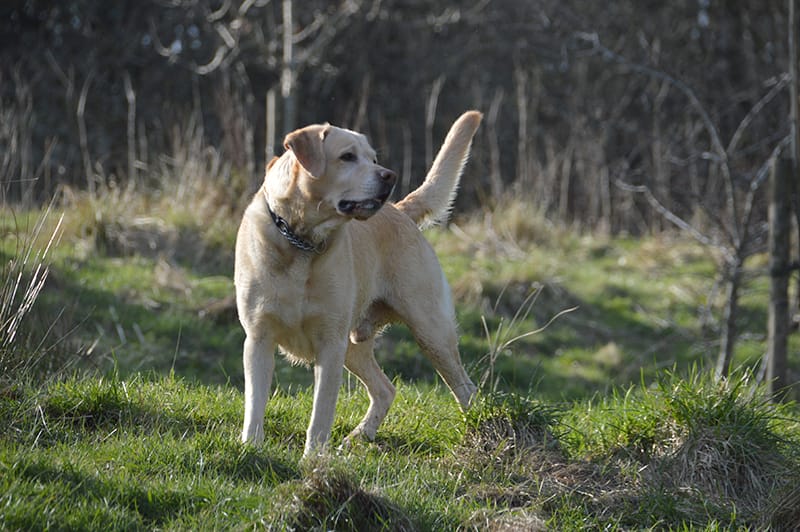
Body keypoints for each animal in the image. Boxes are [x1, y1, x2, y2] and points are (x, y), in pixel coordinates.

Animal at [233, 110, 482, 456]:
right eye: (347, 157)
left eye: (373, 158)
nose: (389, 176)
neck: (301, 241)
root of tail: (399, 209)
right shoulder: (258, 339)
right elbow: (254, 405)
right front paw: (252, 448)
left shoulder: (330, 344)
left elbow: (321, 413)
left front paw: (313, 458)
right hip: (355, 346)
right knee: (386, 389)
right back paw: (359, 436)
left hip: (431, 332)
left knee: (466, 389)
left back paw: (479, 435)